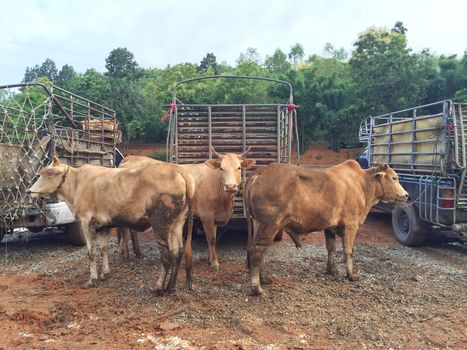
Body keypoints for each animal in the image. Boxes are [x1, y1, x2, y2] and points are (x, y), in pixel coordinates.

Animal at [28, 157, 194, 292]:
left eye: (49, 173)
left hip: (160, 224)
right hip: (178, 223)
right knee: (178, 252)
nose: (29, 191)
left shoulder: (86, 222)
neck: (77, 184)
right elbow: (104, 249)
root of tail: (179, 170)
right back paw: (171, 287)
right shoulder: (104, 225)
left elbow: (91, 252)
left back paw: (159, 287)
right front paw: (105, 273)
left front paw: (92, 278)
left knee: (166, 256)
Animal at [118, 146, 256, 270]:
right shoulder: (206, 215)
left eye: (239, 167)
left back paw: (136, 252)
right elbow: (211, 238)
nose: (230, 186)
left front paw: (211, 259)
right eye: (222, 168)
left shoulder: (215, 217)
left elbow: (213, 237)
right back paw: (125, 254)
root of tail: (131, 158)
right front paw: (214, 262)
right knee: (125, 228)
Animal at [247, 161, 408, 296]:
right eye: (394, 178)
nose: (407, 196)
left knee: (252, 248)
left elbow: (331, 248)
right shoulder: (351, 225)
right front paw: (351, 275)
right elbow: (348, 251)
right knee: (258, 251)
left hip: (258, 224)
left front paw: (332, 270)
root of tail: (259, 172)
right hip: (270, 225)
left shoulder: (330, 227)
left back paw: (263, 278)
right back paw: (257, 287)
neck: (362, 184)